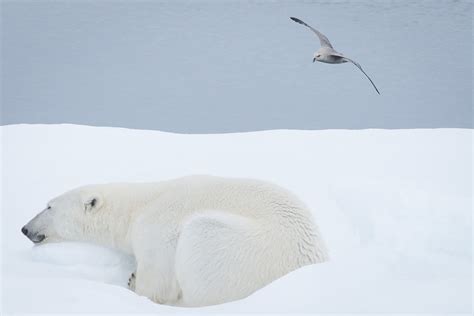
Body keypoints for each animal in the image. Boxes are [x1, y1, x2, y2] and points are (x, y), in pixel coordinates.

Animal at [21, 175, 326, 306]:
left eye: (49, 206)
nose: (24, 228)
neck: (137, 208)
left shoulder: (157, 231)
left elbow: (157, 282)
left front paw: (134, 282)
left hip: (242, 250)